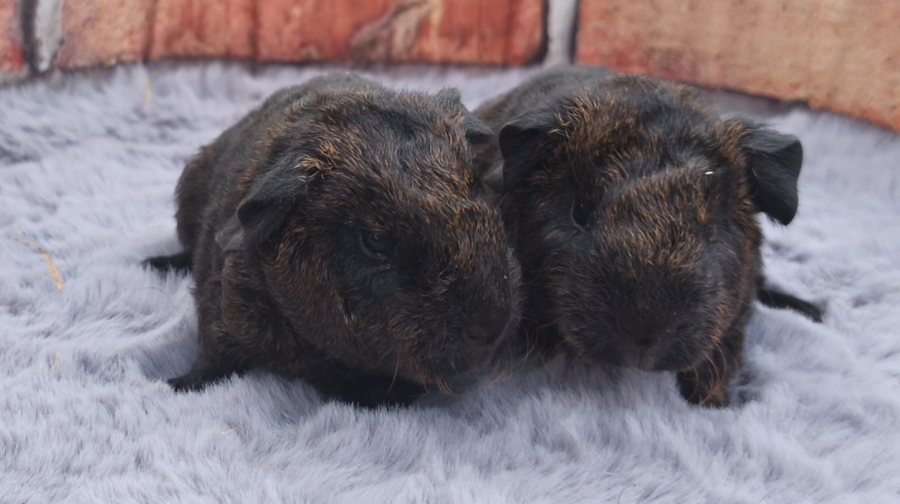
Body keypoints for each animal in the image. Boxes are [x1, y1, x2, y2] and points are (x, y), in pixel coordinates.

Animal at [146, 73, 521, 407]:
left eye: (478, 188)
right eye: (374, 241)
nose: (491, 324)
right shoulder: (221, 302)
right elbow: (212, 357)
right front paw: (177, 385)